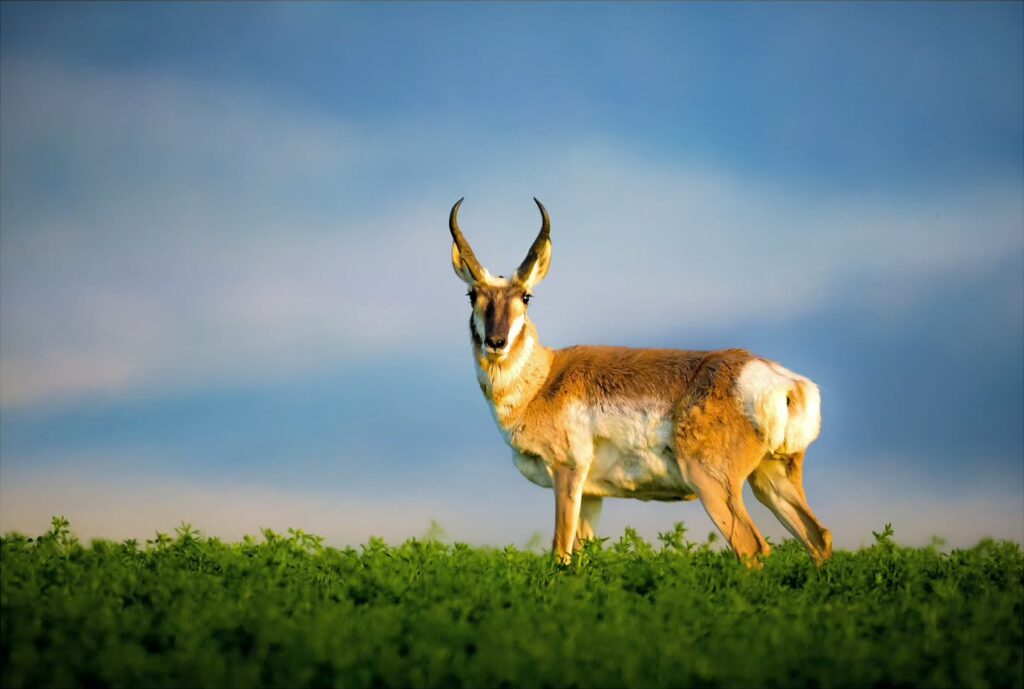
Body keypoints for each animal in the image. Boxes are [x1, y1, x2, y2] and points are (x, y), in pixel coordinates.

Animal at [449, 198, 832, 566]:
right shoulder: (592, 495)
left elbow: (560, 554)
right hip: (771, 480)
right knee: (819, 538)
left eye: (526, 296)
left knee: (752, 548)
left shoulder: (567, 473)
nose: (495, 342)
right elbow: (583, 558)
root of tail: (784, 382)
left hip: (713, 484)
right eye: (472, 296)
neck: (544, 380)